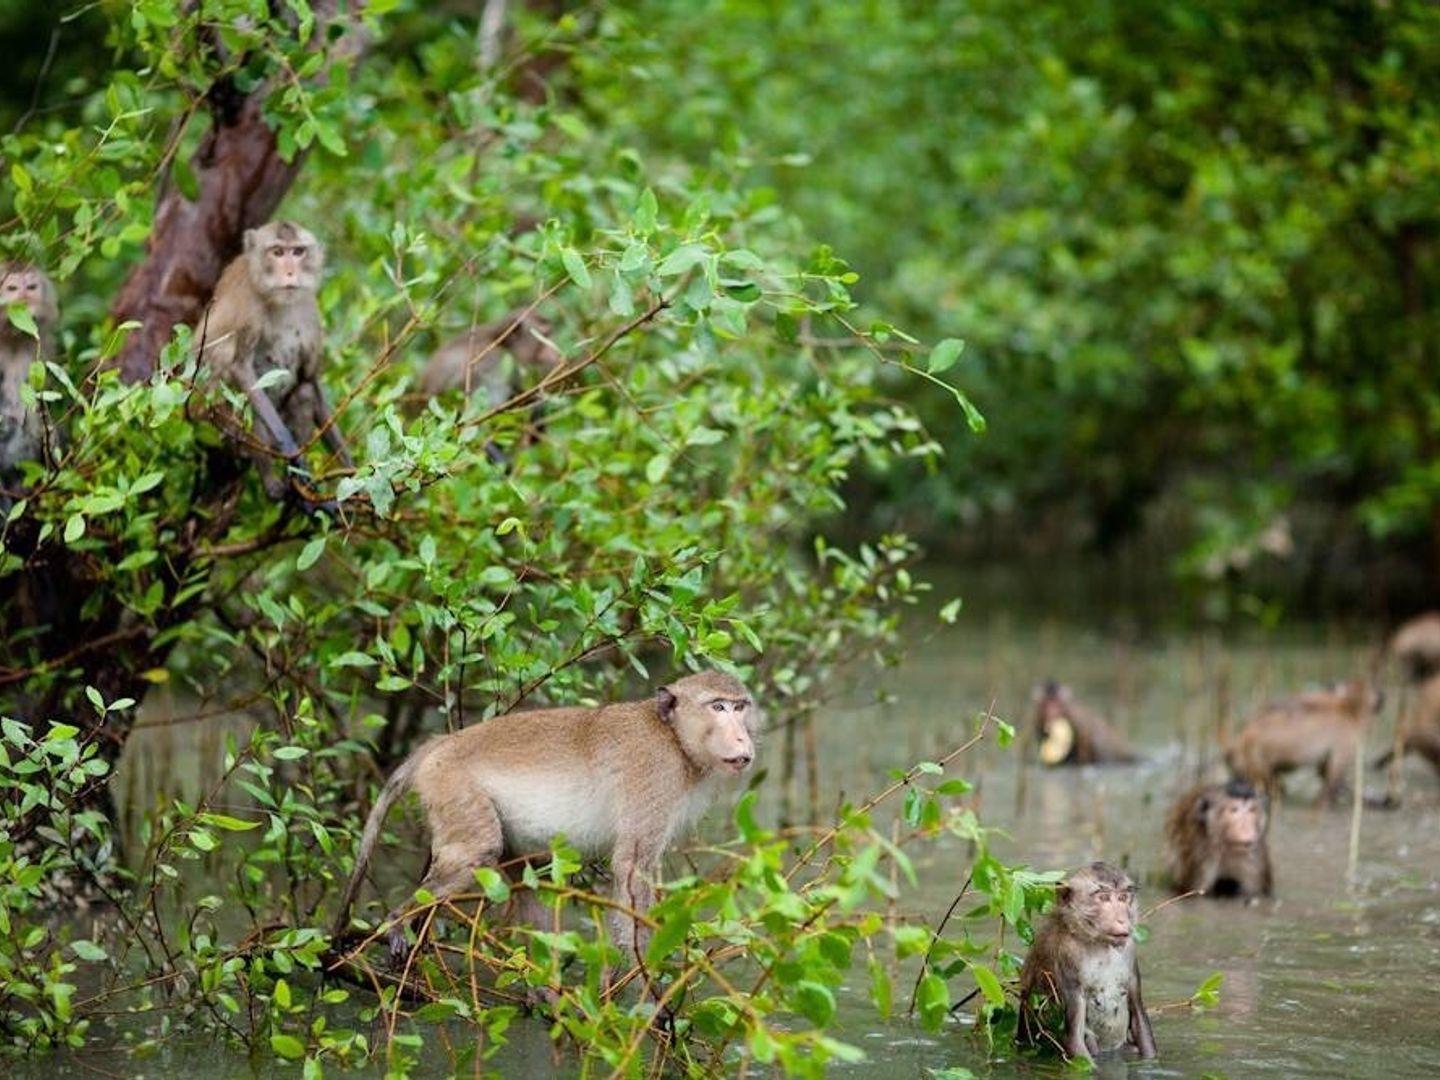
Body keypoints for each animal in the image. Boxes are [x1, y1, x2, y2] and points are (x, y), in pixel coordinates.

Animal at [331, 676, 760, 973]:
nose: (743, 738)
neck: (673, 737)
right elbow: (632, 868)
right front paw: (644, 976)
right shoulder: (655, 769)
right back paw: (395, 923)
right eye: (718, 707)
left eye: (740, 707)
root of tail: (438, 746)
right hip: (452, 786)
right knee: (478, 850)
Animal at [1013, 864, 1157, 1065]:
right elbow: (1074, 1037)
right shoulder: (1067, 957)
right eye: (1103, 898)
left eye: (1122, 898)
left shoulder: (1129, 949)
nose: (1122, 920)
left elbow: (1138, 1016)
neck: (1098, 942)